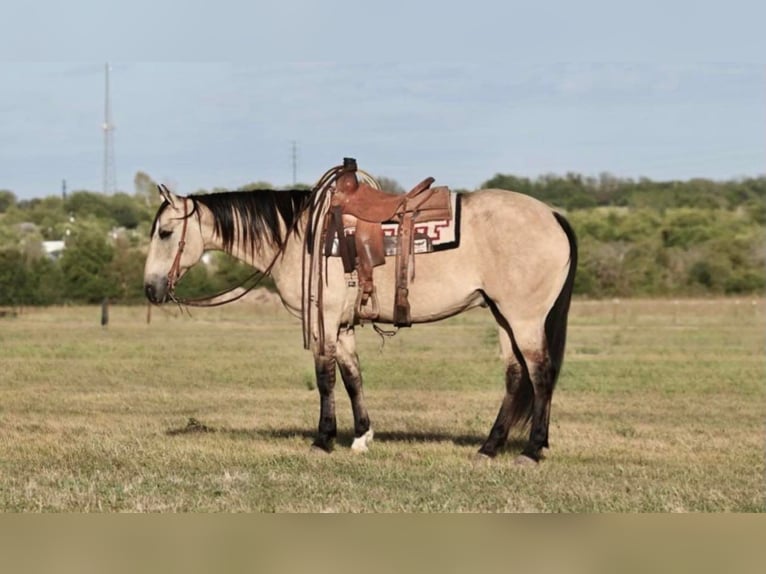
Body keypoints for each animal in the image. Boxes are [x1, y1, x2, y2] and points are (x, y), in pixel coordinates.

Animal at [142, 160, 576, 466]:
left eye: (165, 233)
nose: (150, 288)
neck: (300, 237)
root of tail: (553, 215)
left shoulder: (324, 321)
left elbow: (325, 378)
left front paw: (323, 439)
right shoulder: (344, 325)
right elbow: (353, 377)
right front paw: (361, 436)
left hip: (523, 318)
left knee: (540, 373)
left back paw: (531, 450)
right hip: (502, 315)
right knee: (516, 375)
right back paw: (490, 447)